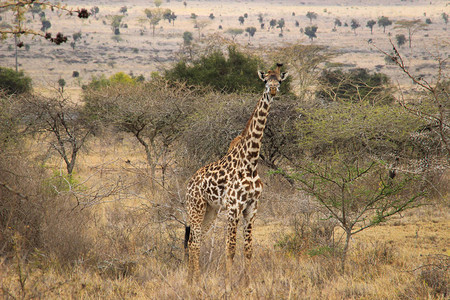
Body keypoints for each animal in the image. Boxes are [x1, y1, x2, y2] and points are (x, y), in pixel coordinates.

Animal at [185, 63, 288, 286]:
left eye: (279, 81)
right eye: (265, 80)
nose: (273, 90)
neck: (250, 163)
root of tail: (189, 182)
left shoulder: (252, 208)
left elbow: (248, 249)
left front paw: (247, 284)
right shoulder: (234, 208)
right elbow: (230, 248)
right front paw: (228, 283)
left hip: (211, 210)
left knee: (195, 240)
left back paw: (191, 279)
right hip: (195, 207)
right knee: (194, 241)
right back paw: (195, 280)